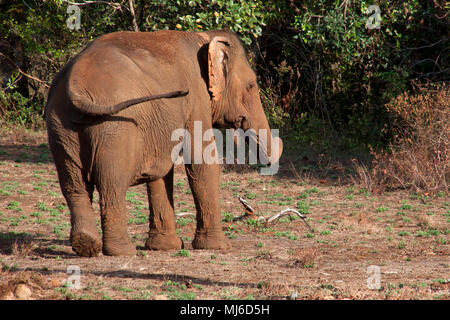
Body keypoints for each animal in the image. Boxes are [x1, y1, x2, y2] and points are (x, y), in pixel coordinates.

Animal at [46, 28, 284, 256]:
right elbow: (201, 160)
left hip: (61, 126)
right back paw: (122, 251)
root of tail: (75, 85)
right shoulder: (195, 95)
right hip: (115, 126)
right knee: (111, 184)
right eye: (251, 85)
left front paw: (165, 247)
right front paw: (218, 247)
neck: (205, 36)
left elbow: (161, 170)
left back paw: (85, 245)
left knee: (74, 186)